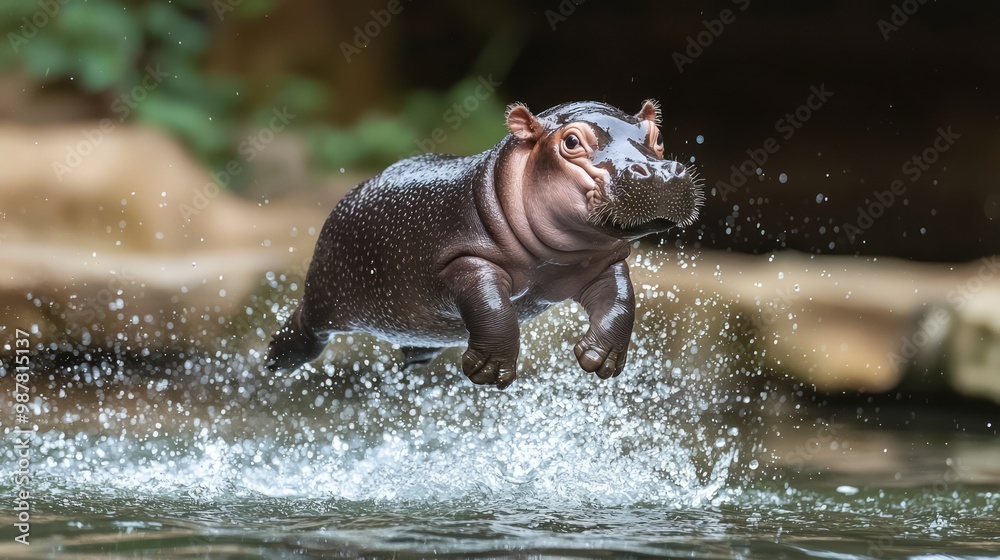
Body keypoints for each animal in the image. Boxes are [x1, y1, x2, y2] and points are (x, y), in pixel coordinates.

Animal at [266, 100, 703, 389]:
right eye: (571, 142)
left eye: (657, 137)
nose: (661, 173)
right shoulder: (464, 259)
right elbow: (493, 308)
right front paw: (490, 372)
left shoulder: (601, 263)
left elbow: (621, 303)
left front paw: (601, 361)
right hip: (327, 293)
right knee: (308, 327)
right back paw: (275, 360)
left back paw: (415, 357)